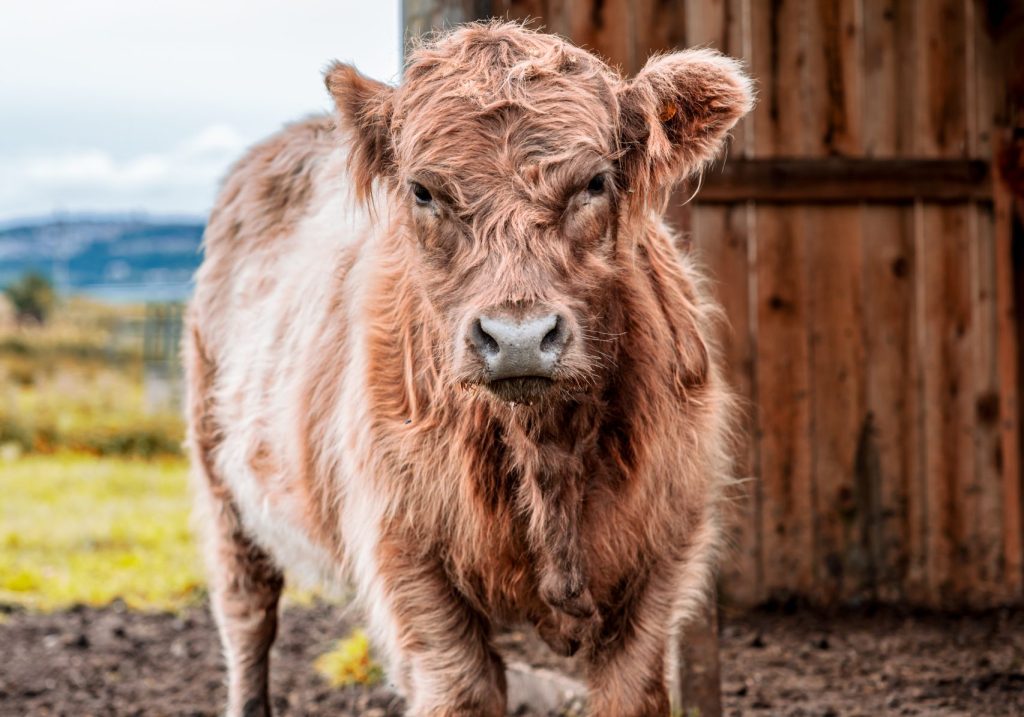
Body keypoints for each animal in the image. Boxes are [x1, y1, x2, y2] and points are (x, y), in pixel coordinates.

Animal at [186, 20, 753, 717]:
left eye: (595, 182)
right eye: (423, 191)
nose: (518, 338)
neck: (548, 452)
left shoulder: (663, 559)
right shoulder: (410, 558)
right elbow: (462, 689)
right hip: (223, 491)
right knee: (248, 618)